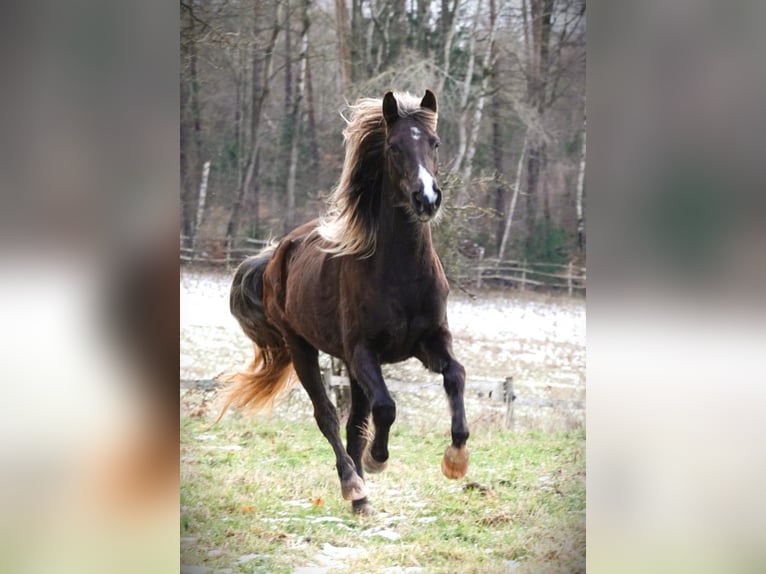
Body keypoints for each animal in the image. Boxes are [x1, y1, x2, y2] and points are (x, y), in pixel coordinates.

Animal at [219, 90, 469, 515]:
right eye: (394, 146)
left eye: (434, 143)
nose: (427, 199)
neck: (401, 274)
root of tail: (278, 253)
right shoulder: (362, 351)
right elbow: (386, 408)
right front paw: (377, 459)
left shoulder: (430, 341)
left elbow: (456, 375)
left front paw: (456, 458)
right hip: (302, 348)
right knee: (328, 416)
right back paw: (353, 483)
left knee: (353, 421)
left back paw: (362, 500)